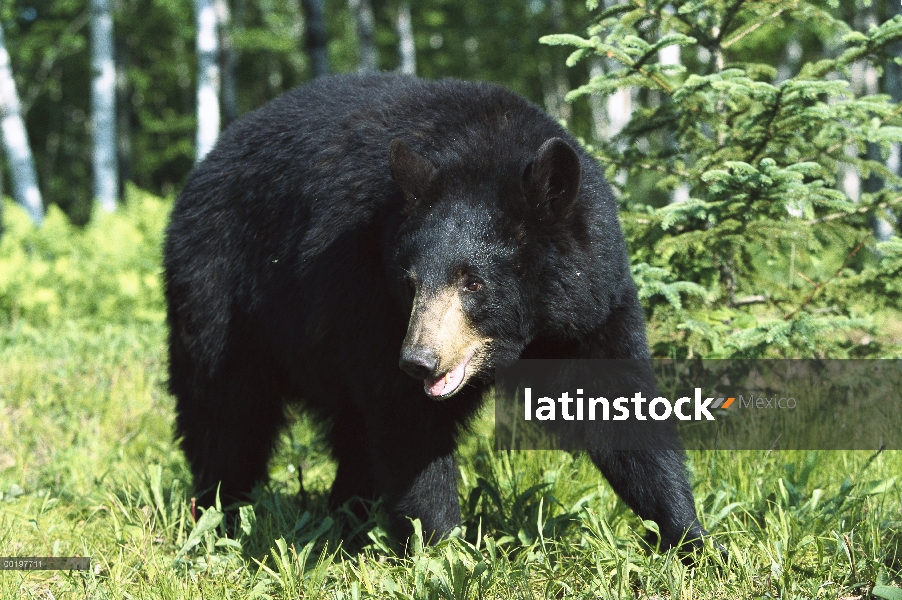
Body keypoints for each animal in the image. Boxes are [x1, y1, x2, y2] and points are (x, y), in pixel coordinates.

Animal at [166, 75, 708, 552]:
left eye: (474, 282)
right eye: (410, 282)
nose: (419, 361)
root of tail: (206, 162)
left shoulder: (591, 306)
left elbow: (621, 408)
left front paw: (691, 541)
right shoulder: (367, 291)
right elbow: (409, 427)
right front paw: (443, 551)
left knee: (349, 433)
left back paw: (346, 521)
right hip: (222, 295)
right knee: (226, 417)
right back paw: (219, 516)